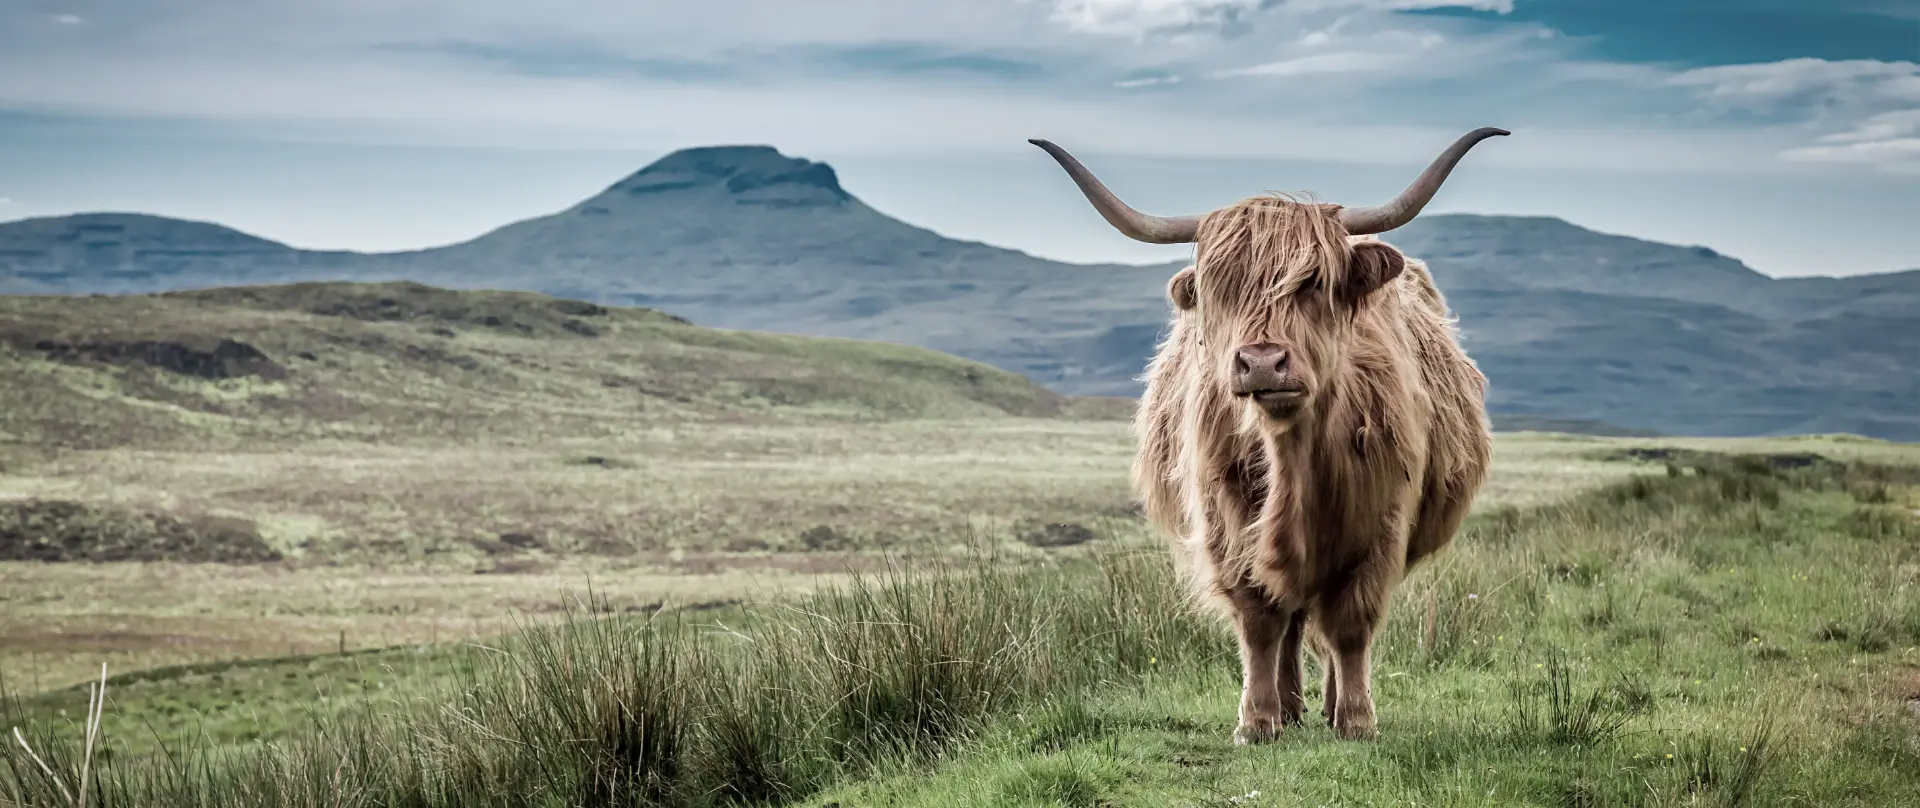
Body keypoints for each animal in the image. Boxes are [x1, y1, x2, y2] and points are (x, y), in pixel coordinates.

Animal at [1029, 128, 1505, 743]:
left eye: (1313, 283)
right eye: (1221, 289)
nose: (1261, 363)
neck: (1293, 461)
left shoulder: (1381, 523)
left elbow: (1350, 624)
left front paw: (1356, 720)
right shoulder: (1226, 524)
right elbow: (1259, 619)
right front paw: (1257, 721)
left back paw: (1325, 704)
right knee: (1292, 619)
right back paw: (1290, 704)